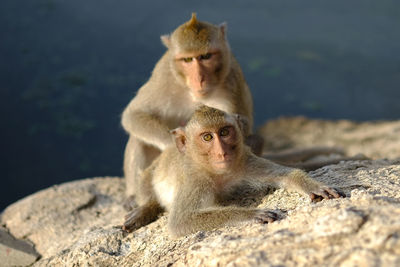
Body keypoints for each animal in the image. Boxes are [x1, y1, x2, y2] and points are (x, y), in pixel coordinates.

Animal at [122, 13, 260, 211]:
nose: (199, 78)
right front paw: (174, 147)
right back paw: (134, 197)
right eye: (187, 60)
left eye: (205, 56)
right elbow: (134, 114)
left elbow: (238, 128)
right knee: (140, 138)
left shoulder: (231, 83)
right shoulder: (164, 75)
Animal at [123, 105, 346, 238]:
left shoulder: (244, 161)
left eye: (224, 132)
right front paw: (251, 214)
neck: (217, 173)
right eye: (207, 137)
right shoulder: (195, 179)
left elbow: (287, 175)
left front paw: (313, 186)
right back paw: (145, 209)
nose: (222, 152)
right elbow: (181, 221)